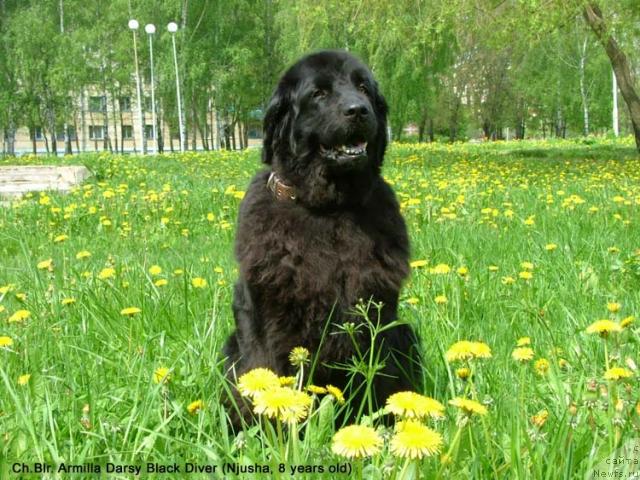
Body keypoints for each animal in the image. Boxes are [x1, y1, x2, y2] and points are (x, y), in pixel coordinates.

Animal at [222, 49, 422, 424]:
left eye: (363, 87)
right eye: (318, 94)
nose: (358, 110)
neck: (329, 209)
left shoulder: (378, 316)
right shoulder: (262, 318)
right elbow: (265, 371)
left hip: (406, 332)